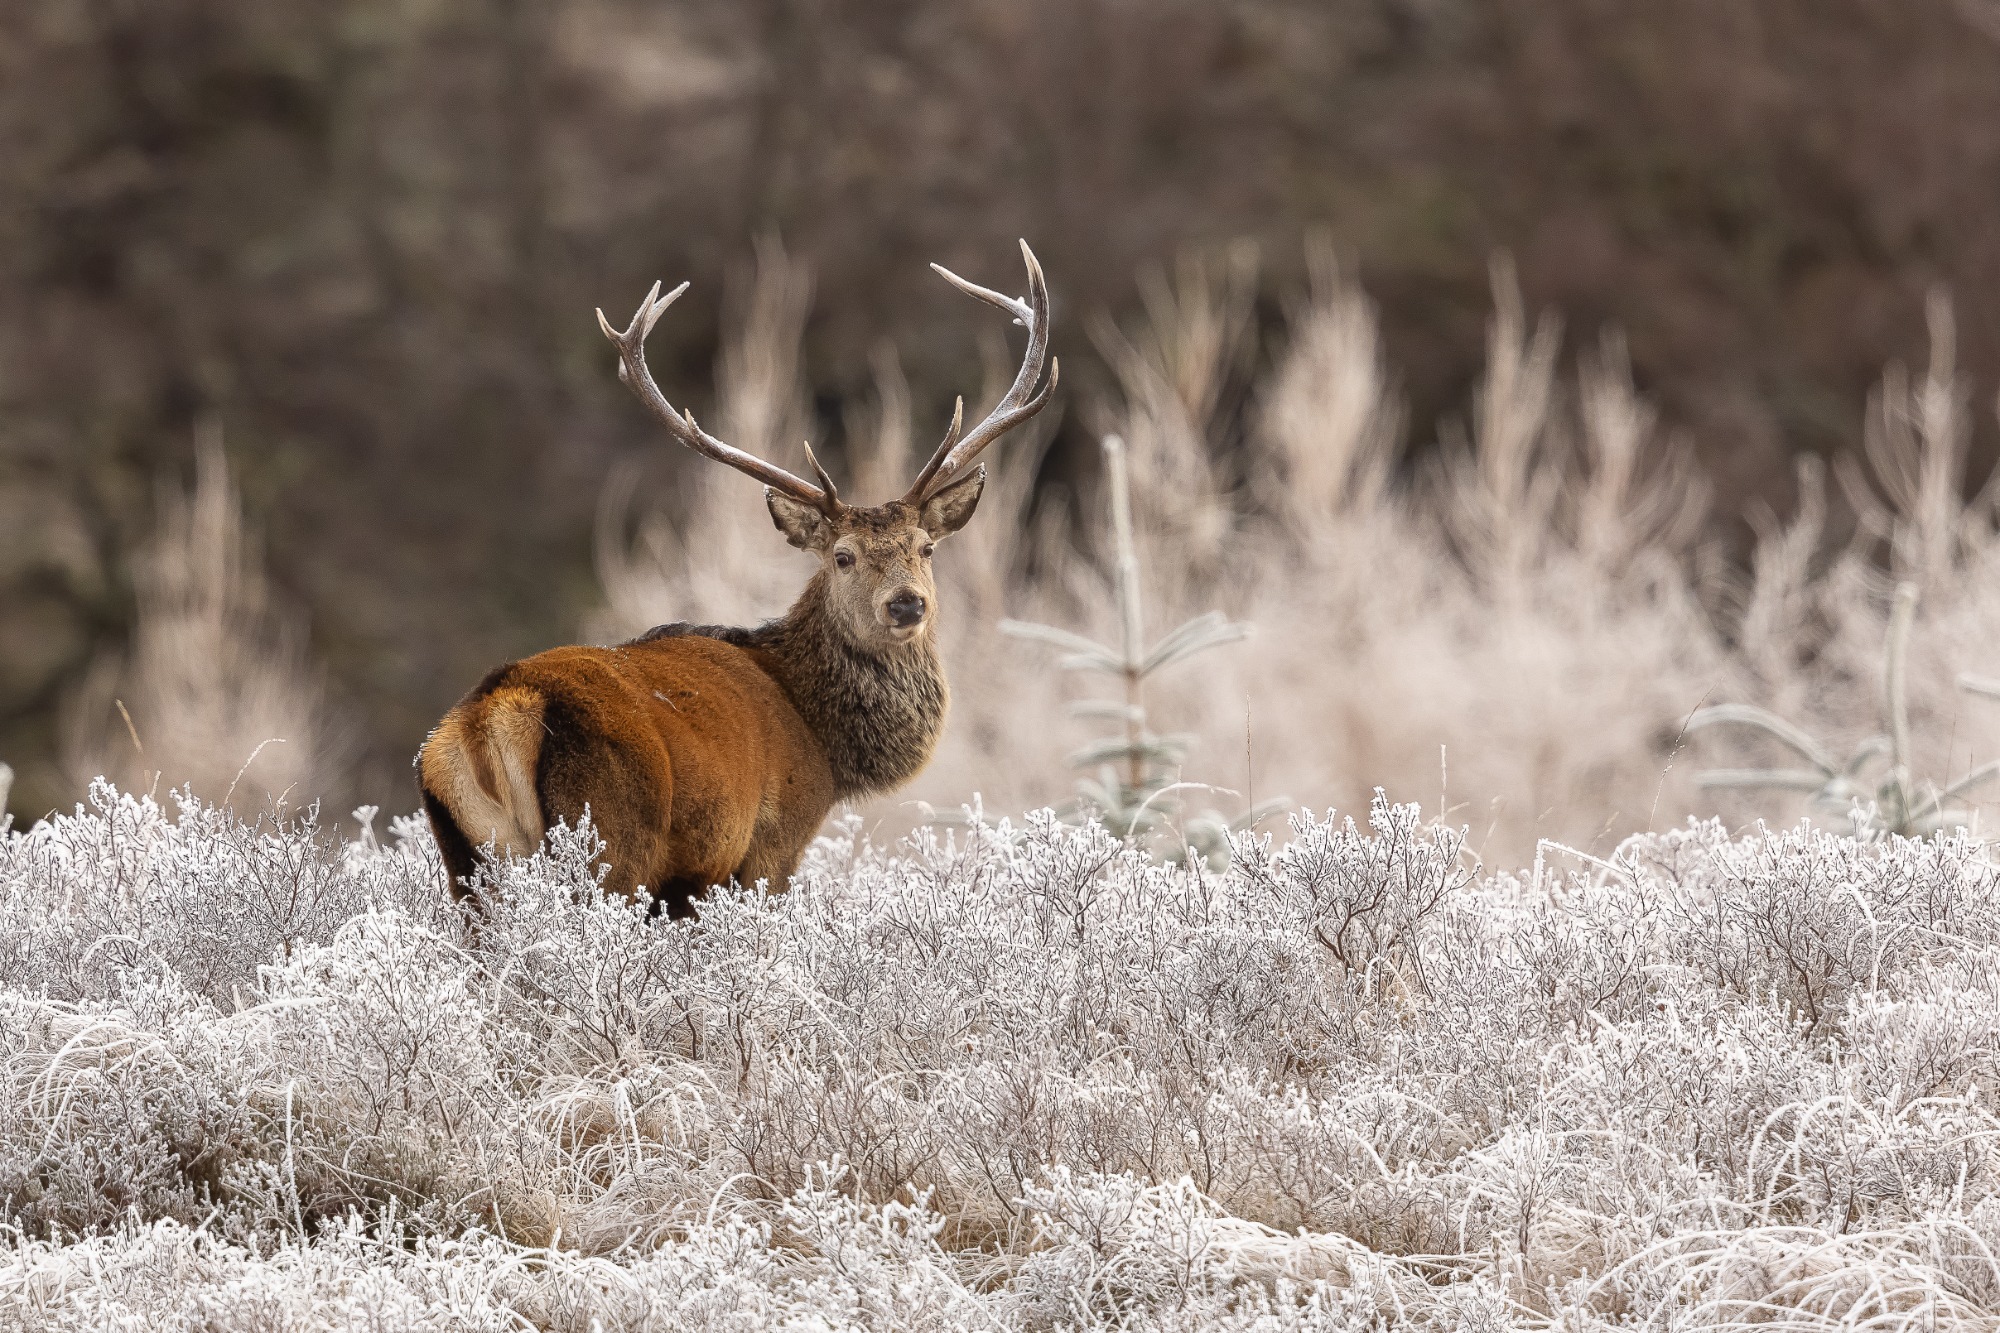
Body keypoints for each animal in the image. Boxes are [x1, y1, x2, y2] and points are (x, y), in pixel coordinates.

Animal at [419, 242, 1056, 917]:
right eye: (843, 556)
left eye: (926, 547)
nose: (907, 605)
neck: (822, 739)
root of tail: (492, 717)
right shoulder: (774, 841)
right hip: (611, 840)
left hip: (468, 861)